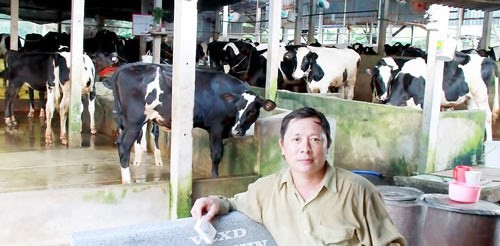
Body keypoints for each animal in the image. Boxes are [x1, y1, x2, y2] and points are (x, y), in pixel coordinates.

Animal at [103, 62, 278, 184]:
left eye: (252, 111)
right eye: (237, 107)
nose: (236, 131)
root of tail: (125, 67)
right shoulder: (216, 126)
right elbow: (216, 154)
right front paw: (214, 178)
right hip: (135, 120)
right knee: (123, 144)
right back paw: (127, 180)